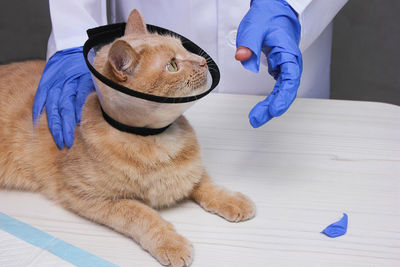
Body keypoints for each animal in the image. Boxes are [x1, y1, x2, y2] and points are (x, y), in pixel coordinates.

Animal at [0, 9, 255, 266]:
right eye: (172, 65)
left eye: (184, 48)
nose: (203, 61)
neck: (153, 138)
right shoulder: (88, 195)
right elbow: (142, 214)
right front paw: (170, 243)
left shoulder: (191, 172)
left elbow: (207, 184)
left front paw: (233, 200)